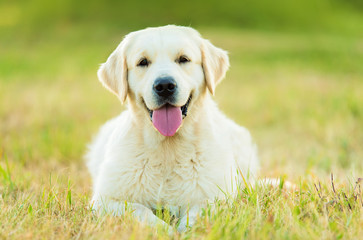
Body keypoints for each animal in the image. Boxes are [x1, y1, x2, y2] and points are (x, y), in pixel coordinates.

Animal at [87, 24, 260, 232]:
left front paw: (184, 231)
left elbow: (195, 217)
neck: (168, 148)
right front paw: (165, 231)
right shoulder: (105, 200)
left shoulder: (216, 197)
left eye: (183, 59)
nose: (164, 86)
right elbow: (141, 211)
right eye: (143, 62)